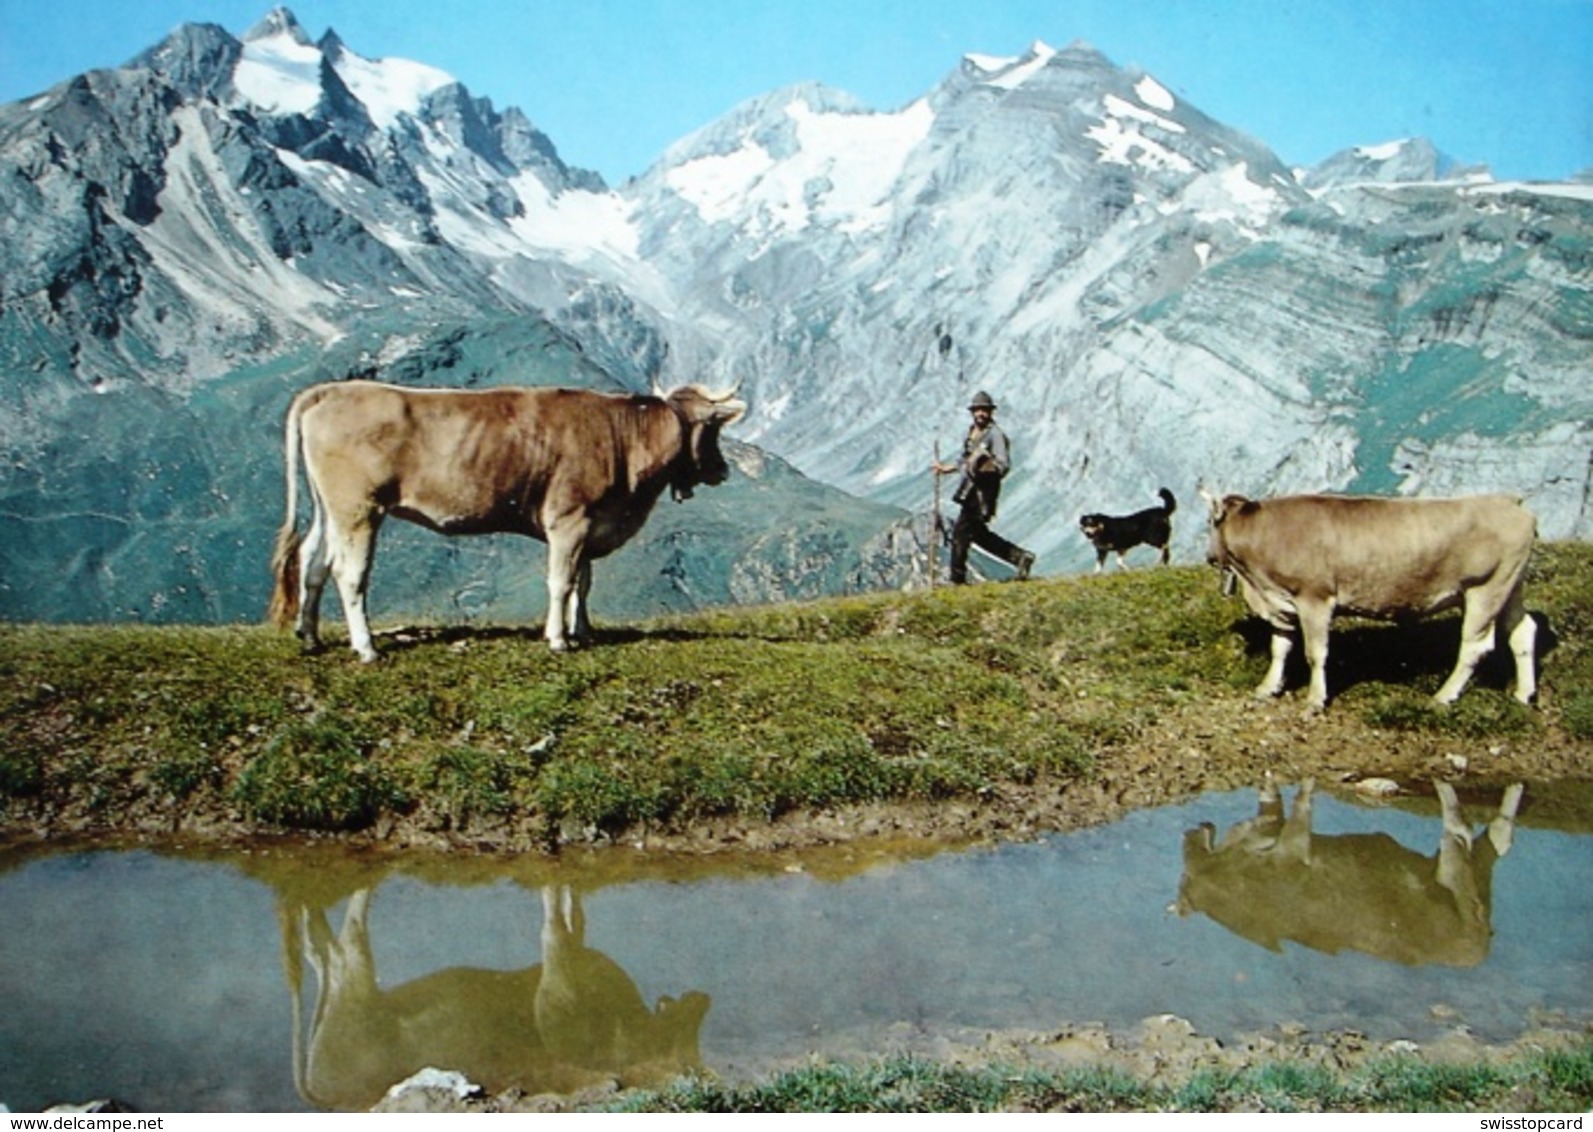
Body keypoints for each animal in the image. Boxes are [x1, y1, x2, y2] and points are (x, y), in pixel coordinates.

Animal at [267, 383, 745, 665]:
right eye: (714, 428)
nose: (723, 470)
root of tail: (331, 389)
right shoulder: (569, 520)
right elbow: (561, 582)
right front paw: (558, 638)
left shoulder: (590, 522)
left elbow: (584, 581)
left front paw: (584, 631)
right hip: (359, 509)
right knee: (350, 574)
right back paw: (366, 647)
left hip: (331, 510)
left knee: (313, 562)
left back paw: (309, 636)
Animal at [1197, 490, 1535, 713]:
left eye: (1209, 522)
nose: (1209, 556)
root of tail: (1508, 500)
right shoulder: (1283, 603)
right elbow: (1280, 648)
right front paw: (1268, 687)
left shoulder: (1314, 598)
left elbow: (1315, 653)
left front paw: (1315, 699)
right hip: (1510, 587)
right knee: (1523, 632)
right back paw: (1524, 694)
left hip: (1485, 588)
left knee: (1475, 645)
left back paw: (1444, 695)